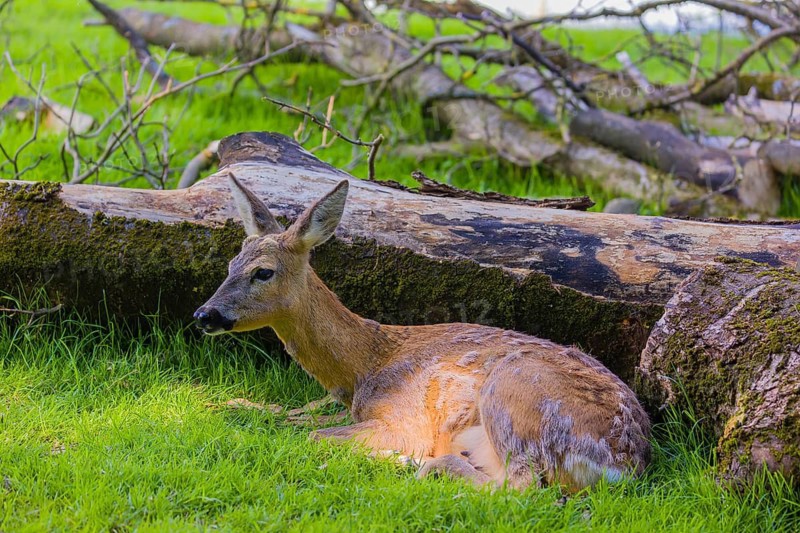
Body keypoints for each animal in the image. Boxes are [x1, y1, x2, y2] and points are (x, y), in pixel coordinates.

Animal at [194, 173, 651, 492]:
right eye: (231, 264)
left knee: (518, 487)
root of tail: (624, 465)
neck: (364, 365)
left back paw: (415, 465)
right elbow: (283, 411)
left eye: (263, 272)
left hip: (513, 397)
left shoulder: (401, 419)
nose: (204, 314)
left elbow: (315, 436)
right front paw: (224, 403)